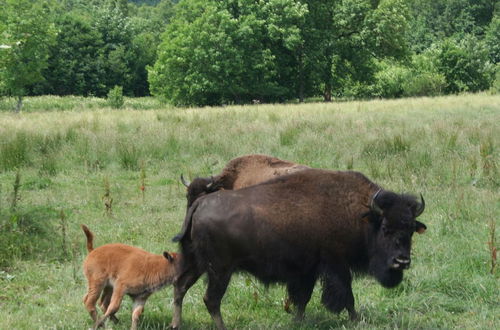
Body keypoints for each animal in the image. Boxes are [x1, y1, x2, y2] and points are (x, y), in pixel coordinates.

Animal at [171, 169, 426, 328]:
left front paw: (298, 321)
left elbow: (303, 298)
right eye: (385, 228)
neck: (359, 212)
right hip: (220, 270)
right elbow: (347, 296)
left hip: (196, 263)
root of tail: (199, 203)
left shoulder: (307, 271)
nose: (402, 261)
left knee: (180, 286)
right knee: (211, 299)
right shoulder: (336, 265)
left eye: (411, 229)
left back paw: (176, 324)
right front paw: (355, 320)